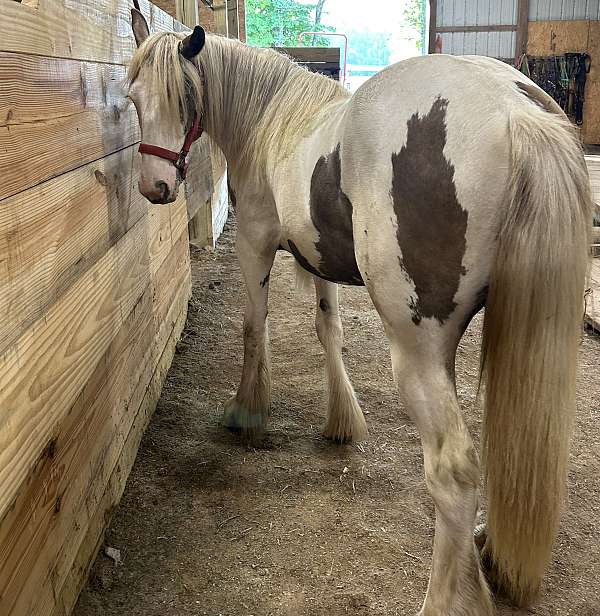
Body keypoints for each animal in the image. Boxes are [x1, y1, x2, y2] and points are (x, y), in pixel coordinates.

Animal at [125, 9, 592, 616]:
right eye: (133, 96)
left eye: (184, 96)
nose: (155, 187)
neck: (273, 122)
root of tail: (516, 112)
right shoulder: (320, 259)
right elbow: (329, 329)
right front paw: (341, 420)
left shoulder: (254, 246)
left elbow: (254, 329)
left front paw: (248, 411)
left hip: (418, 351)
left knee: (453, 472)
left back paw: (445, 598)